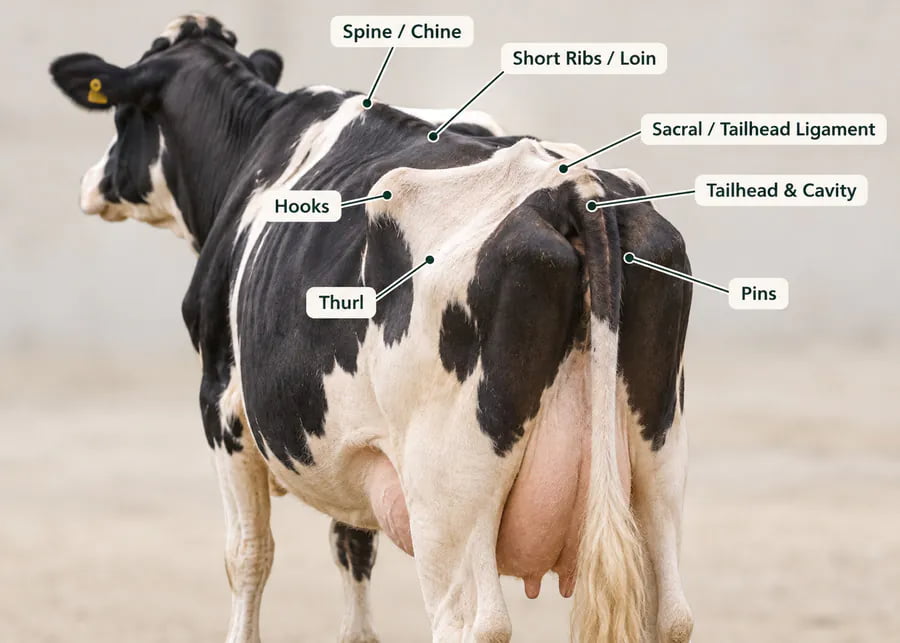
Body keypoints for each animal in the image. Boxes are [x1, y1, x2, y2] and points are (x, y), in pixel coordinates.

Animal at [50, 14, 693, 643]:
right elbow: (352, 546)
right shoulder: (354, 444)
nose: (90, 182)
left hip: (449, 495)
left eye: (121, 113)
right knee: (673, 613)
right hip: (657, 462)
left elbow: (248, 555)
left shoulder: (223, 407)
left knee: (472, 623)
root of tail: (573, 190)